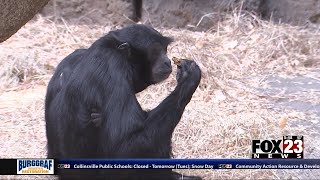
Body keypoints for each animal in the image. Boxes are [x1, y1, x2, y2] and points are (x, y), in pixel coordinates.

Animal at [44, 24, 201, 180]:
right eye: (156, 50)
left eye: (164, 49)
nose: (167, 61)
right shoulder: (113, 68)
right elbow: (125, 146)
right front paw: (189, 77)